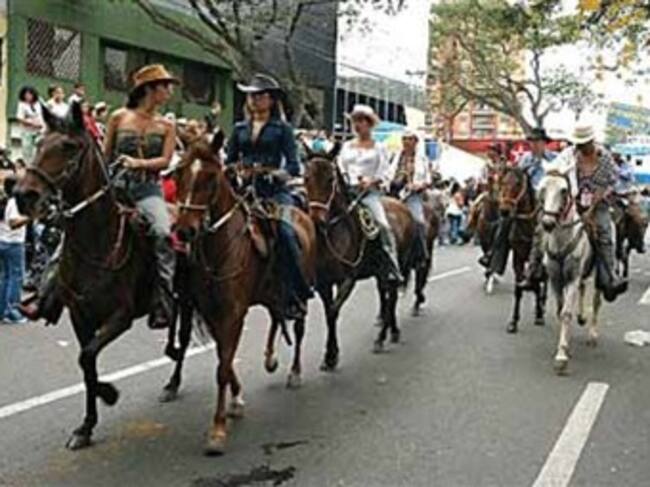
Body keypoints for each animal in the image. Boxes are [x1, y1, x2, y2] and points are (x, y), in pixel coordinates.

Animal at [14, 104, 193, 449]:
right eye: (39, 142)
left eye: (68, 146)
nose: (22, 195)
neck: (97, 240)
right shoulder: (80, 316)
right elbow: (87, 365)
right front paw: (86, 426)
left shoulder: (120, 316)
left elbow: (86, 358)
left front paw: (109, 394)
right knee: (173, 323)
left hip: (193, 298)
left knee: (186, 334)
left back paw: (173, 381)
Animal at [174, 135, 317, 454]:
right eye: (179, 173)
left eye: (210, 178)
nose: (184, 231)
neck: (221, 247)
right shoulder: (213, 313)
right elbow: (224, 360)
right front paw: (237, 400)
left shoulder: (233, 313)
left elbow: (223, 367)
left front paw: (217, 430)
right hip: (271, 292)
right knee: (276, 318)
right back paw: (270, 358)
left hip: (298, 294)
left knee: (299, 328)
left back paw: (294, 372)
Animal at [303, 149, 417, 369]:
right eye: (306, 178)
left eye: (330, 179)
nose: (317, 220)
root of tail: (401, 206)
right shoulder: (324, 283)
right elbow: (329, 313)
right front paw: (330, 354)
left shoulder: (347, 280)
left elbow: (333, 311)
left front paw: (331, 356)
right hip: (381, 273)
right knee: (386, 297)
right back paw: (392, 330)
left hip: (394, 269)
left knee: (391, 298)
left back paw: (381, 338)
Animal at [498, 167, 547, 333]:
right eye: (503, 182)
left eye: (519, 183)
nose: (505, 210)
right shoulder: (518, 258)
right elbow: (518, 289)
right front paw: (513, 321)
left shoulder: (537, 259)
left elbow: (537, 284)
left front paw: (539, 315)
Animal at [539, 170, 601, 375]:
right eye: (542, 188)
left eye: (563, 190)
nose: (548, 223)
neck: (561, 240)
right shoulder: (556, 279)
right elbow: (560, 311)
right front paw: (565, 346)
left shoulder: (572, 277)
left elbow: (566, 313)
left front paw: (561, 358)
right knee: (582, 289)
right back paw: (581, 317)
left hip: (597, 274)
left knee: (596, 301)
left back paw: (592, 335)